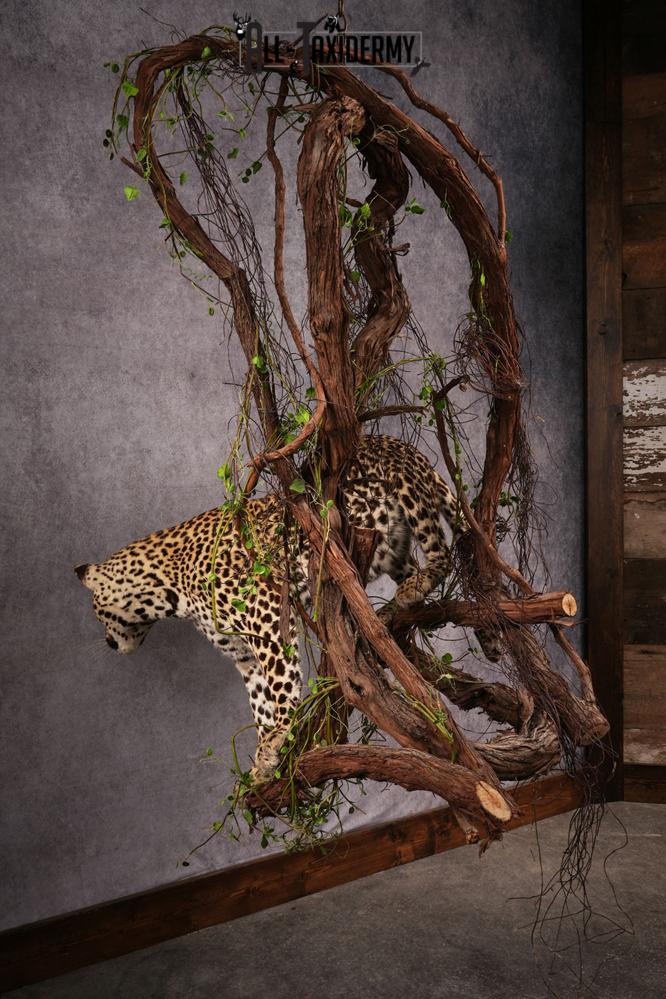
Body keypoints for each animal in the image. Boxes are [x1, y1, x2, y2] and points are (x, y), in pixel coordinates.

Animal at [75, 434, 490, 780]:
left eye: (97, 613)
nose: (109, 644)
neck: (169, 591)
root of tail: (394, 441)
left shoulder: (268, 625)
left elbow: (279, 687)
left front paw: (280, 734)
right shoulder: (242, 652)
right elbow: (258, 700)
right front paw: (263, 756)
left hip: (411, 498)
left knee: (441, 555)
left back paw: (409, 592)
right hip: (389, 545)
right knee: (406, 569)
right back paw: (387, 612)